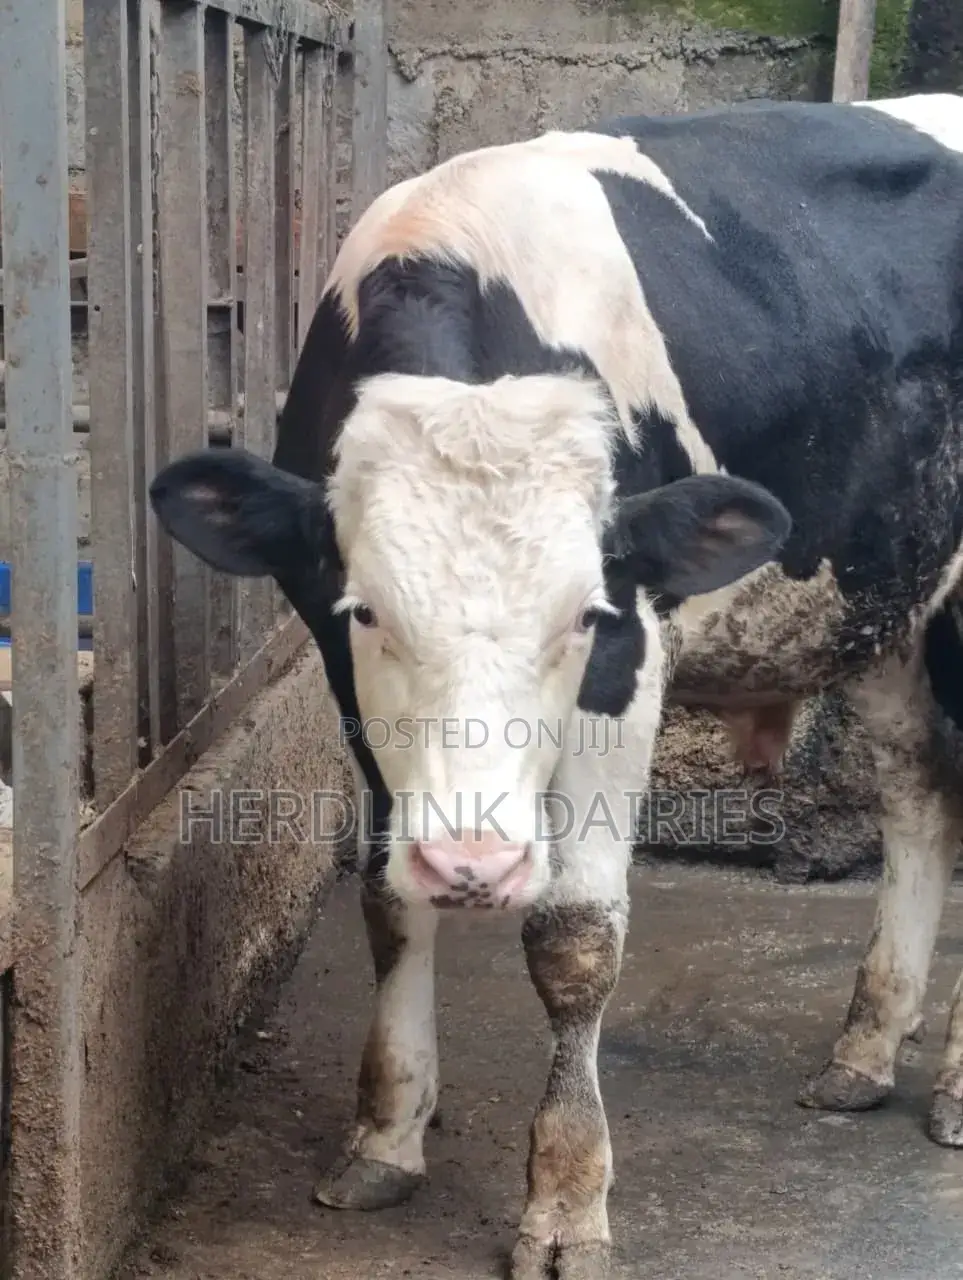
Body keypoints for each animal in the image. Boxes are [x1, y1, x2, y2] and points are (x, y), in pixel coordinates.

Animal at [150, 93, 963, 1277]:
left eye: (586, 615)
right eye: (364, 611)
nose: (476, 862)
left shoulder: (631, 666)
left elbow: (574, 941)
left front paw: (568, 1202)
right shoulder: (349, 693)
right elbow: (386, 896)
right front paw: (386, 1133)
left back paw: (950, 1085)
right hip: (888, 591)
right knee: (917, 791)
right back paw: (867, 1044)